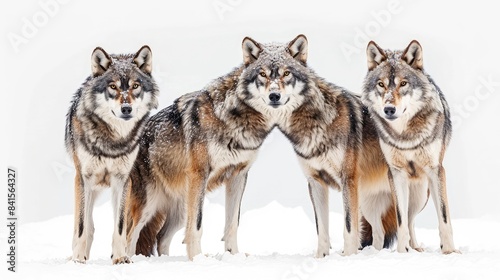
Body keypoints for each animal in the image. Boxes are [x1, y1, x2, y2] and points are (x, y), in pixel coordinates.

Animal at [65, 44, 158, 264]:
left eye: (135, 86)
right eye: (113, 87)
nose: (126, 108)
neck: (113, 141)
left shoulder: (122, 180)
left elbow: (120, 225)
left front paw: (120, 257)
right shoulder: (83, 178)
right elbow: (81, 226)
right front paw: (78, 259)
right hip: (87, 187)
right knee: (87, 225)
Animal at [126, 35, 312, 260]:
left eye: (286, 74)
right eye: (262, 74)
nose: (274, 96)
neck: (236, 119)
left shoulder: (238, 175)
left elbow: (232, 224)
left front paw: (233, 255)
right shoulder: (200, 174)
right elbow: (196, 227)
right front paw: (197, 259)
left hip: (179, 209)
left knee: (160, 237)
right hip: (149, 205)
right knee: (129, 236)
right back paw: (126, 260)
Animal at [362, 40, 458, 254]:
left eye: (403, 83)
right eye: (381, 84)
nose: (389, 109)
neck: (405, 136)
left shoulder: (436, 170)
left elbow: (444, 218)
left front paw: (449, 251)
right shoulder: (396, 174)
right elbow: (401, 221)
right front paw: (401, 252)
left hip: (421, 195)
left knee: (411, 220)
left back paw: (416, 249)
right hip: (374, 204)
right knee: (383, 230)